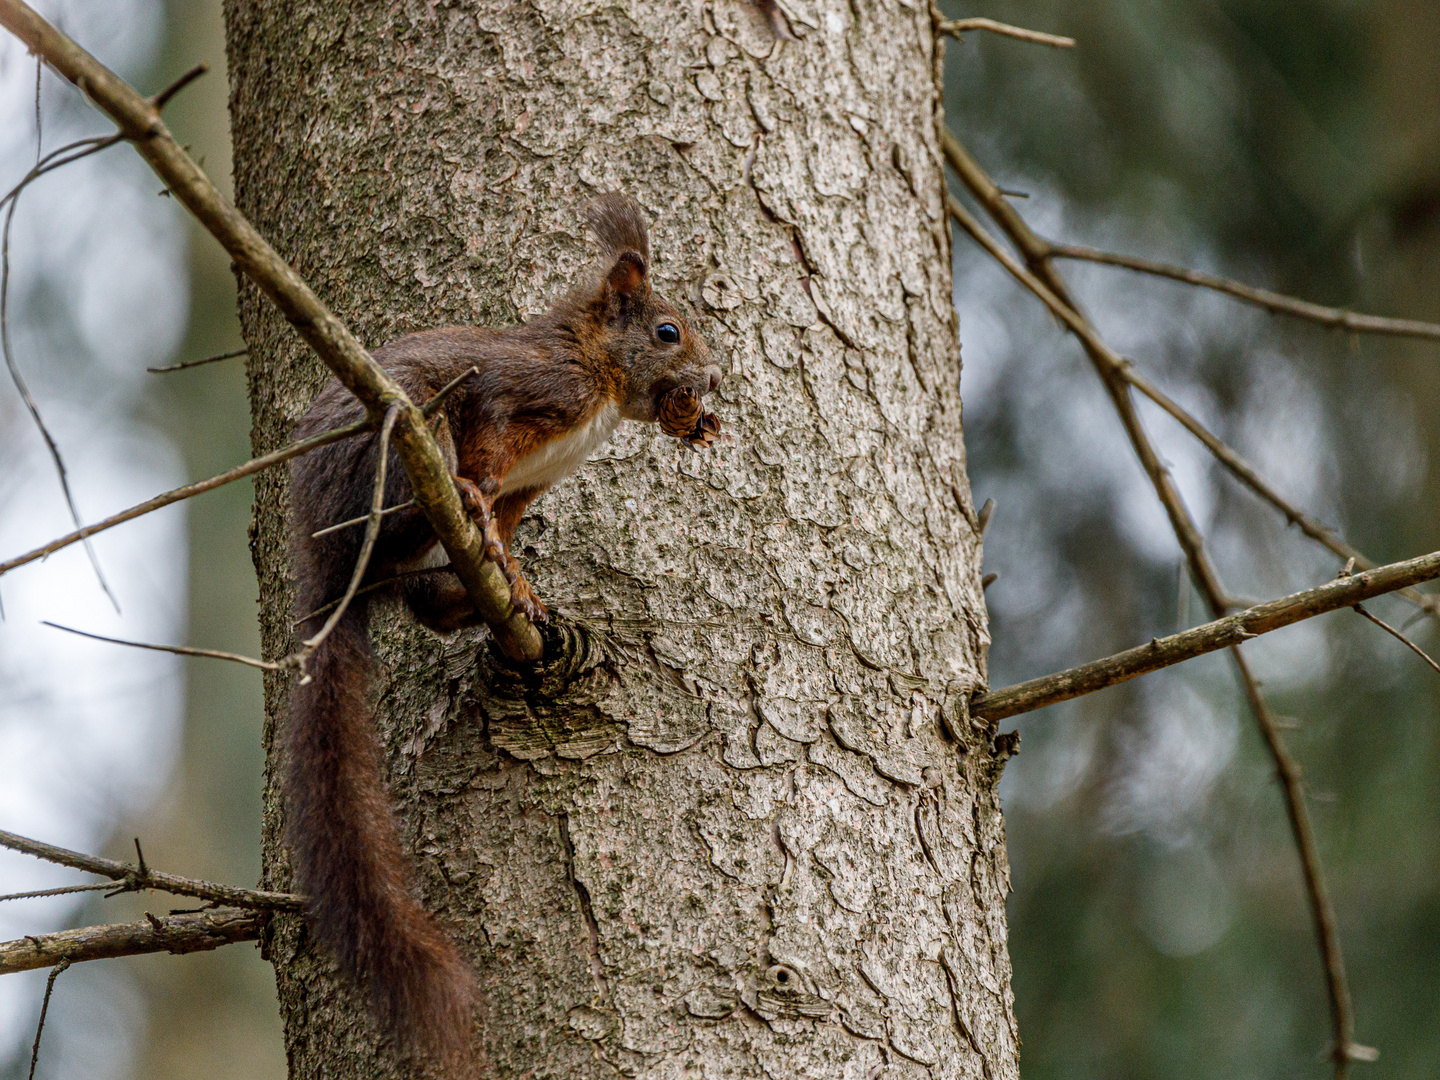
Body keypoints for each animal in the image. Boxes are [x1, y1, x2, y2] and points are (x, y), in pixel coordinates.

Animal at [283, 192, 720, 1065]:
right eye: (667, 332)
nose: (713, 381)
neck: (598, 378)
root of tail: (328, 572)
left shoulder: (536, 482)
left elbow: (511, 537)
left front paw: (522, 585)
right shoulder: (517, 397)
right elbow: (487, 459)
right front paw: (480, 514)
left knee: (416, 599)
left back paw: (466, 599)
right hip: (397, 445)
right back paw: (448, 510)